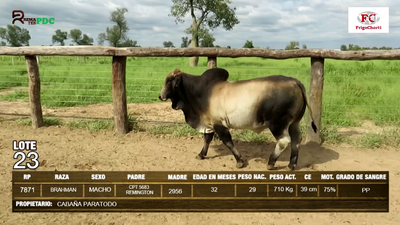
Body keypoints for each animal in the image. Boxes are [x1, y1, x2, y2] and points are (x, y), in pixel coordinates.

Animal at [158, 67, 318, 170]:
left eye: (169, 81)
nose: (160, 96)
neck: (201, 92)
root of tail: (294, 82)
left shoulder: (219, 124)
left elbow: (228, 142)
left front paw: (240, 161)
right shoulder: (210, 123)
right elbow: (207, 140)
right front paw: (201, 154)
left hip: (277, 123)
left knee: (284, 141)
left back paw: (271, 163)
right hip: (294, 123)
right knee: (296, 139)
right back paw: (292, 164)